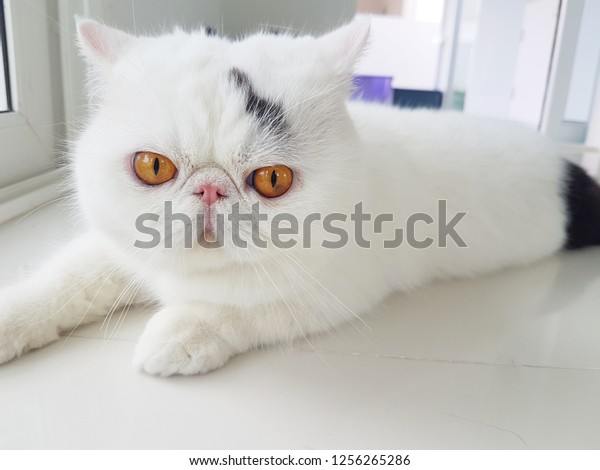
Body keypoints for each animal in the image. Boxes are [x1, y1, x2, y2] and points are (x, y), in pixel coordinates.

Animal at [1, 19, 600, 374]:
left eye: (272, 180)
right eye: (154, 167)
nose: (211, 189)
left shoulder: (339, 290)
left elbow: (239, 311)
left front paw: (178, 334)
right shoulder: (113, 249)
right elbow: (62, 281)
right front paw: (12, 320)